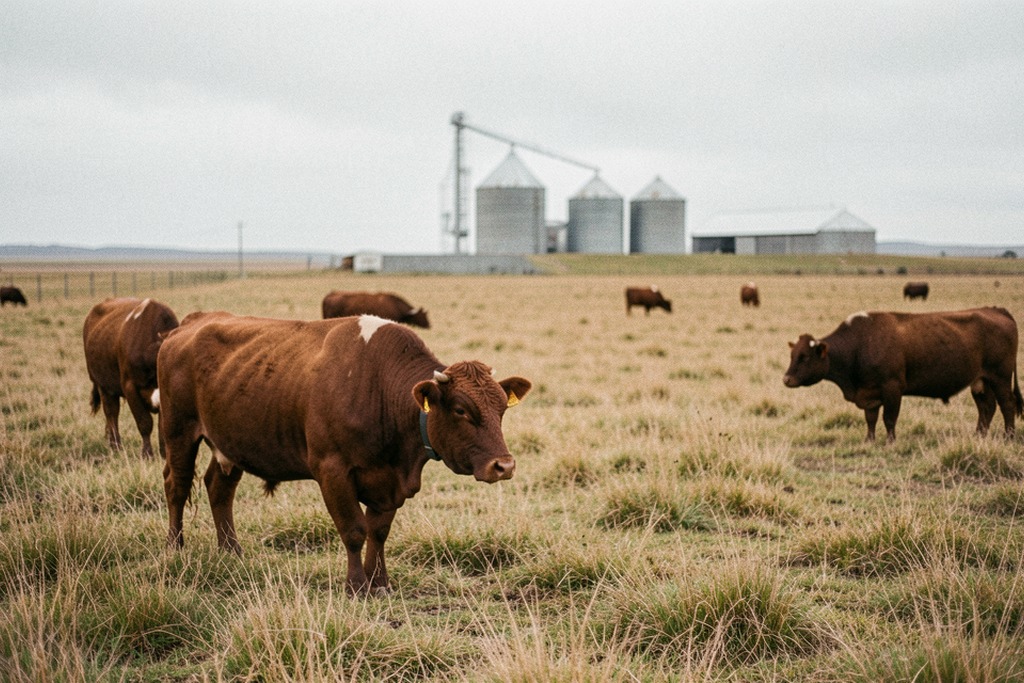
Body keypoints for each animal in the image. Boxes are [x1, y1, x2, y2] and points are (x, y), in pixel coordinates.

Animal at [83, 297, 180, 457]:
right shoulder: (130, 387)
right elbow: (144, 422)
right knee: (111, 414)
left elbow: (162, 426)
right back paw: (116, 446)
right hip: (103, 385)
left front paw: (164, 453)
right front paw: (147, 453)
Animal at [157, 312, 531, 594]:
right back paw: (174, 548)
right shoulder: (333, 471)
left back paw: (231, 551)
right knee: (176, 486)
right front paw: (356, 585)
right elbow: (354, 530)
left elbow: (378, 532)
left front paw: (379, 582)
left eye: (501, 408)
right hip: (179, 433)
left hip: (230, 444)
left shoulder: (389, 483)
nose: (504, 465)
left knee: (219, 489)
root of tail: (191, 322)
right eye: (460, 410)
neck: (378, 387)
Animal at [783, 308, 1023, 443]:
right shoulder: (870, 393)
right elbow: (870, 419)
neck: (860, 344)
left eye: (805, 357)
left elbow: (889, 418)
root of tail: (996, 310)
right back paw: (979, 436)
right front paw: (869, 440)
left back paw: (1008, 436)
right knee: (987, 407)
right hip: (981, 381)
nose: (786, 379)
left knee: (1007, 405)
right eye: (793, 355)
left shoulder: (892, 388)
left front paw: (890, 441)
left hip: (1000, 378)